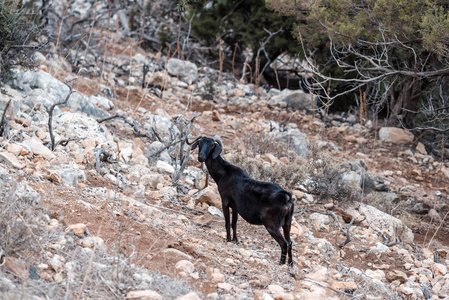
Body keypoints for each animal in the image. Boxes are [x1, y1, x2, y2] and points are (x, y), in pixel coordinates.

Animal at [186, 135, 294, 264]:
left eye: (212, 145)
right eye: (200, 143)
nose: (201, 156)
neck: (224, 173)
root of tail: (287, 198)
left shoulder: (225, 201)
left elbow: (227, 223)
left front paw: (228, 239)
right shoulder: (235, 207)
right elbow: (234, 224)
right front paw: (235, 240)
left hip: (271, 224)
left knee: (284, 243)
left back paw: (281, 263)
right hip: (287, 223)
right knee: (290, 242)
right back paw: (290, 264)